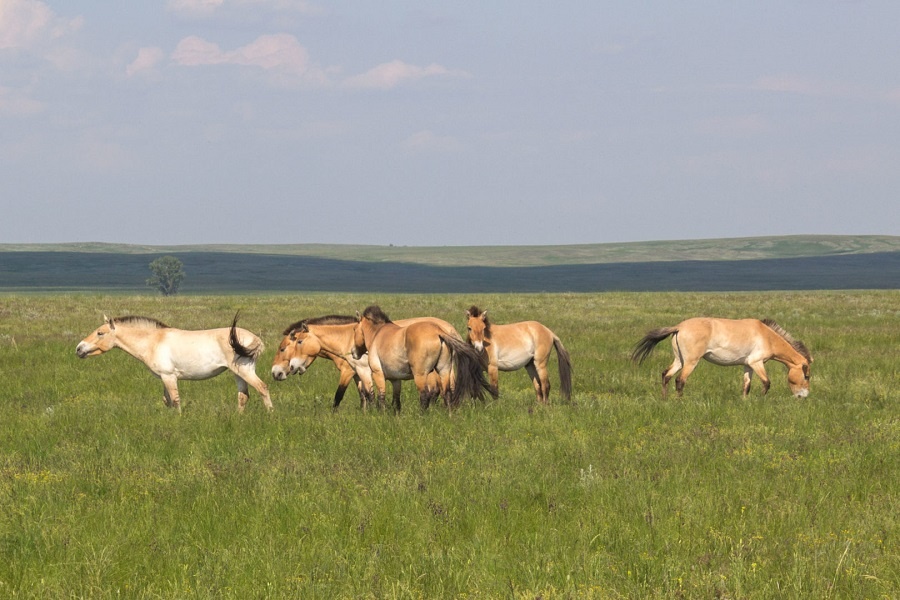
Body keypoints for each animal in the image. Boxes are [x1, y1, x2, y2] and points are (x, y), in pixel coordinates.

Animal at [76, 314, 272, 412]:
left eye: (100, 333)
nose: (79, 349)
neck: (154, 341)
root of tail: (255, 338)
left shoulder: (169, 377)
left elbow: (176, 400)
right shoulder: (163, 378)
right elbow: (167, 400)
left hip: (245, 371)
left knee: (262, 388)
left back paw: (270, 415)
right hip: (237, 373)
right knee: (243, 396)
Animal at [351, 305, 494, 411]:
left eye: (354, 330)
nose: (353, 352)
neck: (378, 333)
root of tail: (439, 331)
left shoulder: (378, 374)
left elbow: (380, 396)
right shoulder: (395, 379)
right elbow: (396, 399)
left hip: (420, 375)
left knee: (425, 395)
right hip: (444, 370)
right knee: (447, 392)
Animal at [631, 317, 813, 398]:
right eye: (807, 376)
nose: (803, 396)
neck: (766, 336)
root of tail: (679, 327)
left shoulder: (748, 365)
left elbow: (746, 385)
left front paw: (745, 401)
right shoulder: (757, 363)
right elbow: (766, 383)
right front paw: (760, 399)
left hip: (679, 360)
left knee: (666, 375)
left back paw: (664, 398)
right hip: (690, 362)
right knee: (680, 380)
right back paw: (679, 401)